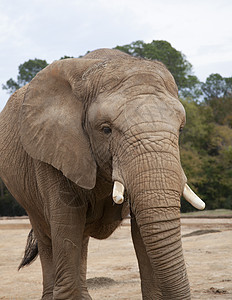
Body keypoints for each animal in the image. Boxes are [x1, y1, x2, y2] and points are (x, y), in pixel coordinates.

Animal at [0, 48, 205, 298]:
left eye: (181, 129)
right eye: (106, 129)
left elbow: (144, 234)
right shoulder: (51, 151)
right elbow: (66, 228)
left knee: (80, 239)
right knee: (48, 236)